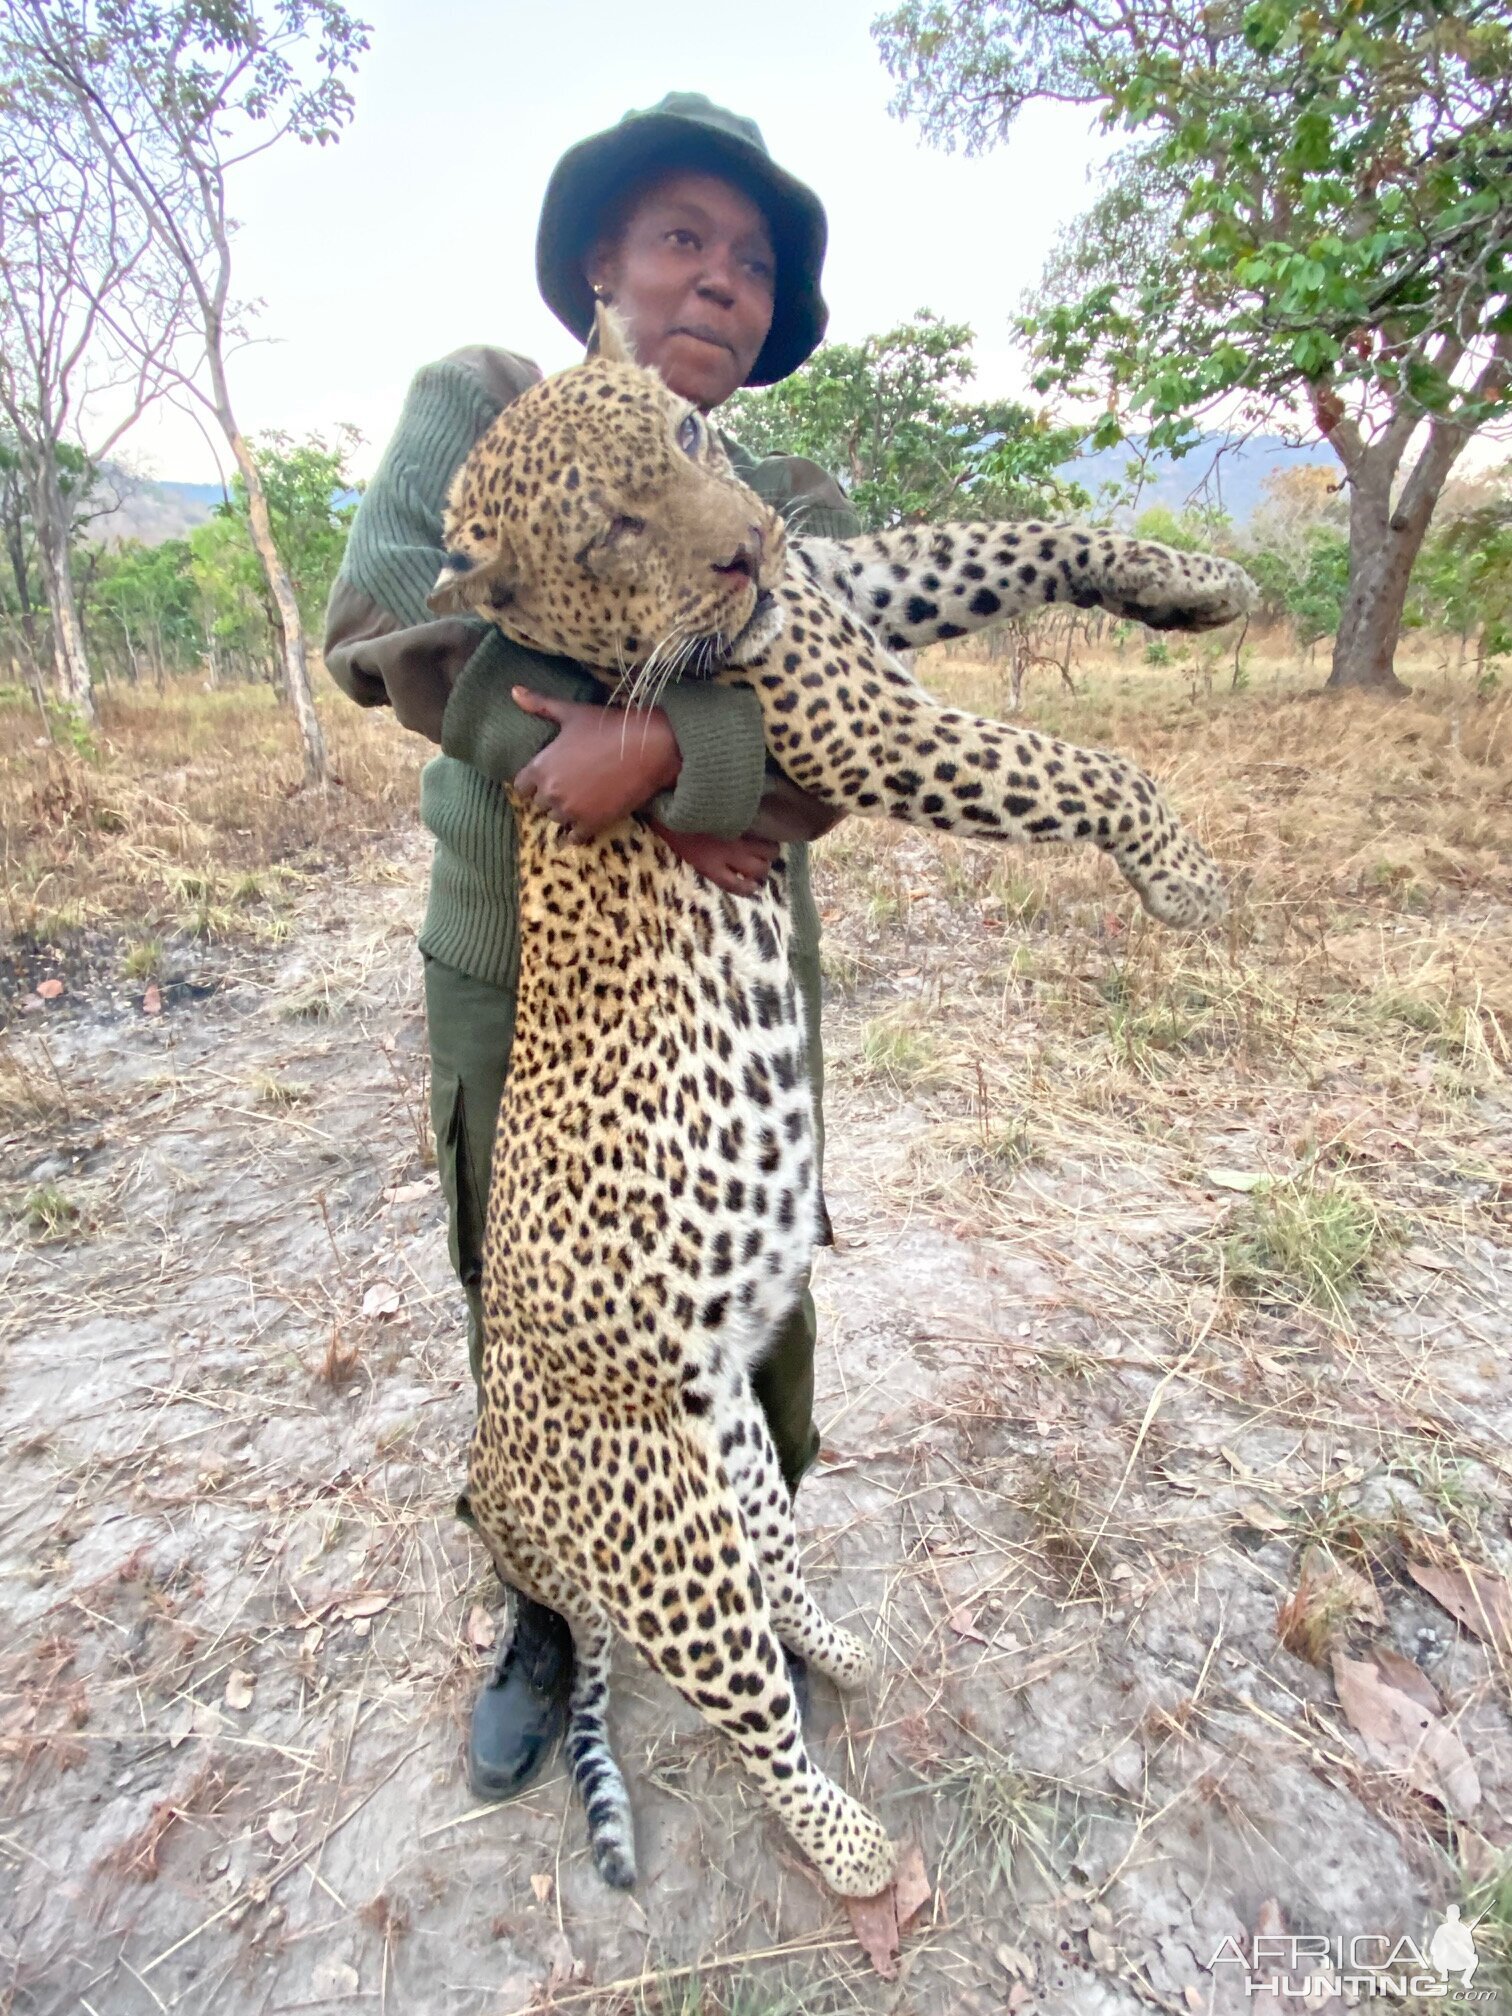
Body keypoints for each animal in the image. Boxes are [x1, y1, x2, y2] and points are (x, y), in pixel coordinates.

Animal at [429, 306, 1257, 1895]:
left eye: (690, 439)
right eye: (612, 529)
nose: (746, 549)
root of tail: (501, 1491)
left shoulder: (852, 588)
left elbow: (1009, 539)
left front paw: (1196, 584)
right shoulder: (860, 719)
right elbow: (1084, 765)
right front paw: (1182, 878)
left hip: (733, 1449)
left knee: (776, 1575)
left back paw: (845, 1646)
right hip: (665, 1537)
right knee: (736, 1693)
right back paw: (853, 1846)